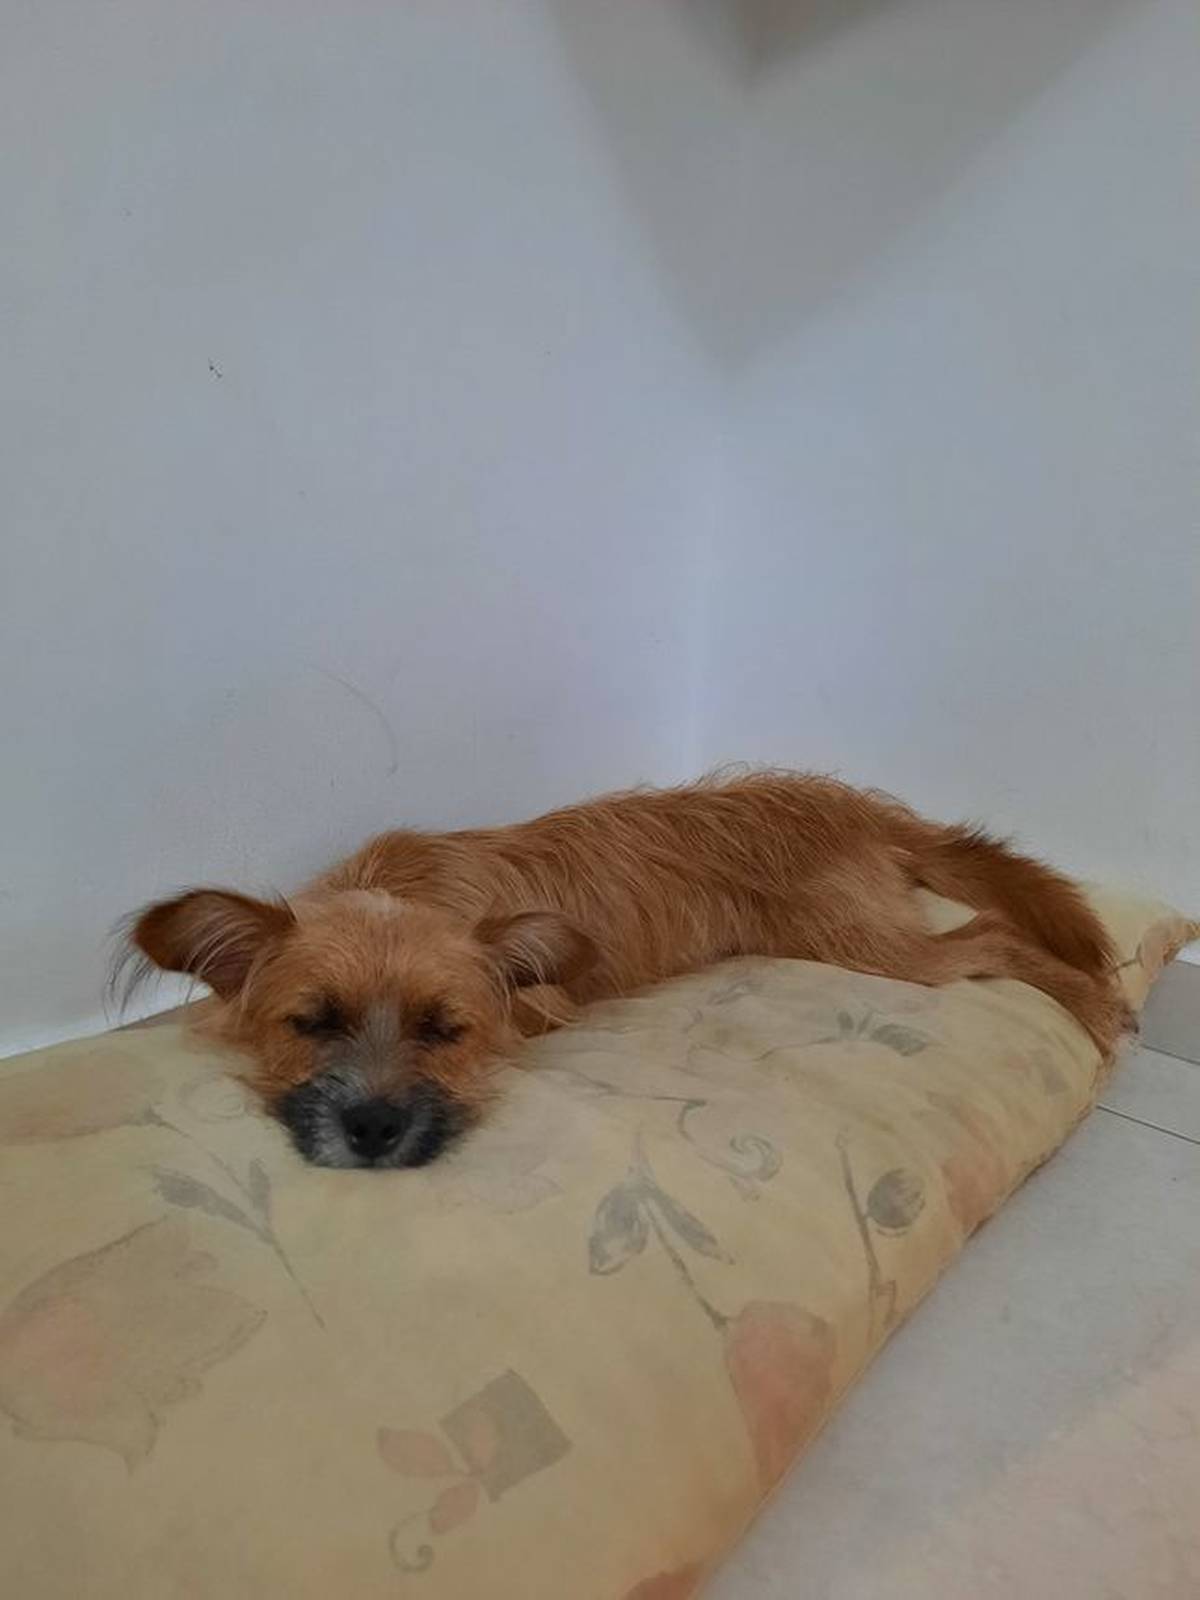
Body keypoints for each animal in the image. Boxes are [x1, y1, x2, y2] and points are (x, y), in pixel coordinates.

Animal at [121, 772, 1129, 1169]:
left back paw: (1092, 1001)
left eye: (446, 1031)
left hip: (868, 945)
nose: (371, 1130)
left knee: (994, 934)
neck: (398, 889)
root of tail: (859, 808)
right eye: (313, 1022)